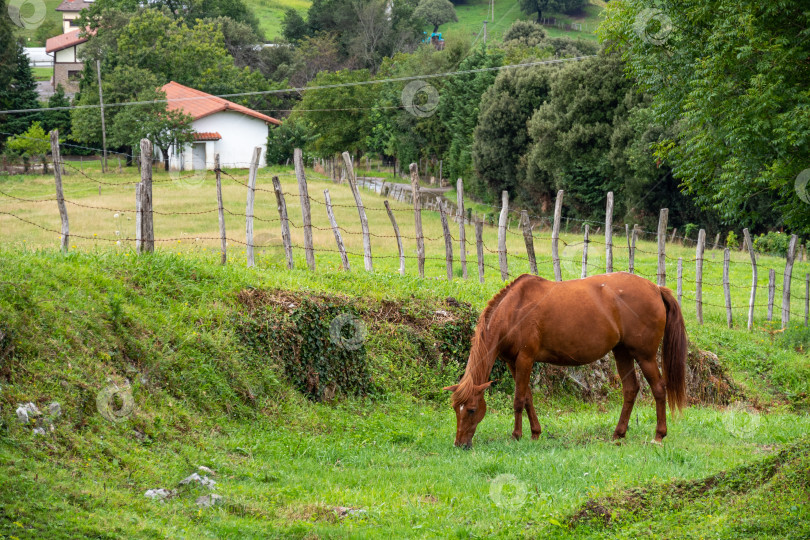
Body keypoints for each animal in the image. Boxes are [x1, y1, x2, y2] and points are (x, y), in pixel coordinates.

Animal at [446, 274, 684, 448]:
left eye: (472, 410)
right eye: (455, 408)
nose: (460, 444)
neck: (513, 310)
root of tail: (656, 288)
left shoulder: (525, 359)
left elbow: (518, 400)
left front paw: (516, 435)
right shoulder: (513, 363)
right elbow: (528, 398)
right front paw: (535, 433)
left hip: (645, 356)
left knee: (658, 389)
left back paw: (658, 435)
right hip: (622, 352)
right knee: (630, 389)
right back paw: (618, 434)